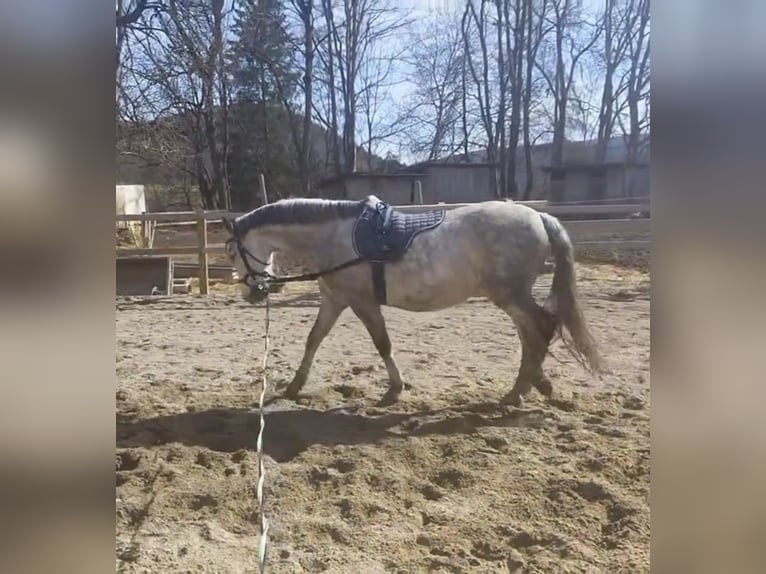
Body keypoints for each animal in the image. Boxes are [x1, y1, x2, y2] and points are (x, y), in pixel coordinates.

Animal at [222, 198, 608, 410]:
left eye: (230, 252)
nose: (253, 293)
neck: (334, 237)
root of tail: (540, 217)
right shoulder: (335, 300)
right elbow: (313, 339)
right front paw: (294, 385)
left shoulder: (362, 302)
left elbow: (382, 343)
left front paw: (395, 389)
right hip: (510, 295)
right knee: (532, 334)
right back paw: (532, 384)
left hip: (509, 294)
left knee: (541, 326)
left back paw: (520, 391)